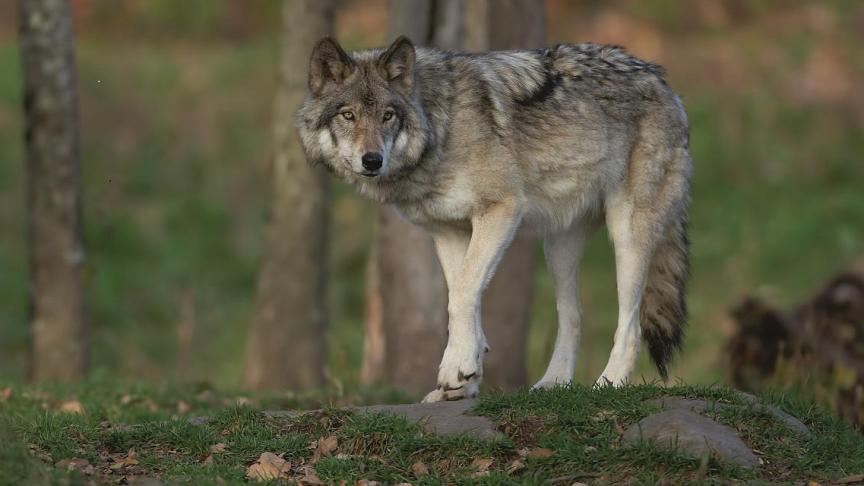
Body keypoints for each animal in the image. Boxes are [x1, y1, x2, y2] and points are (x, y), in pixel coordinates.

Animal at [297, 36, 691, 402]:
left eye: (387, 115)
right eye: (348, 115)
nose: (372, 160)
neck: (441, 127)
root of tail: (663, 81)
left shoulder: (502, 210)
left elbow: (462, 295)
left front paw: (456, 369)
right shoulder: (449, 232)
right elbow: (462, 297)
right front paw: (463, 379)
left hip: (628, 235)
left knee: (630, 323)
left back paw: (609, 383)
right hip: (558, 248)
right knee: (573, 316)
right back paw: (552, 384)